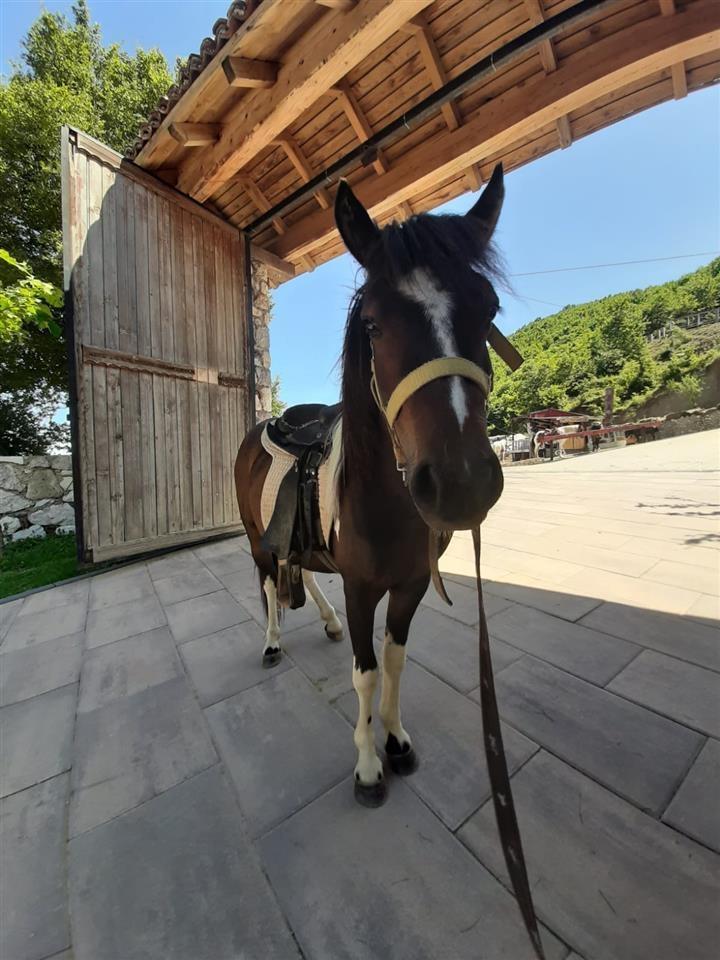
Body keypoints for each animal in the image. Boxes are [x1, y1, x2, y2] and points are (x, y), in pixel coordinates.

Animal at [235, 166, 506, 808]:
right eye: (374, 325)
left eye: (488, 310)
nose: (461, 483)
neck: (387, 502)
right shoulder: (362, 588)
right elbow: (365, 672)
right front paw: (366, 764)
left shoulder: (410, 586)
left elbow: (395, 659)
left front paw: (396, 739)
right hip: (256, 539)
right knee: (269, 582)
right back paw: (273, 641)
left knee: (303, 570)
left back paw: (326, 621)